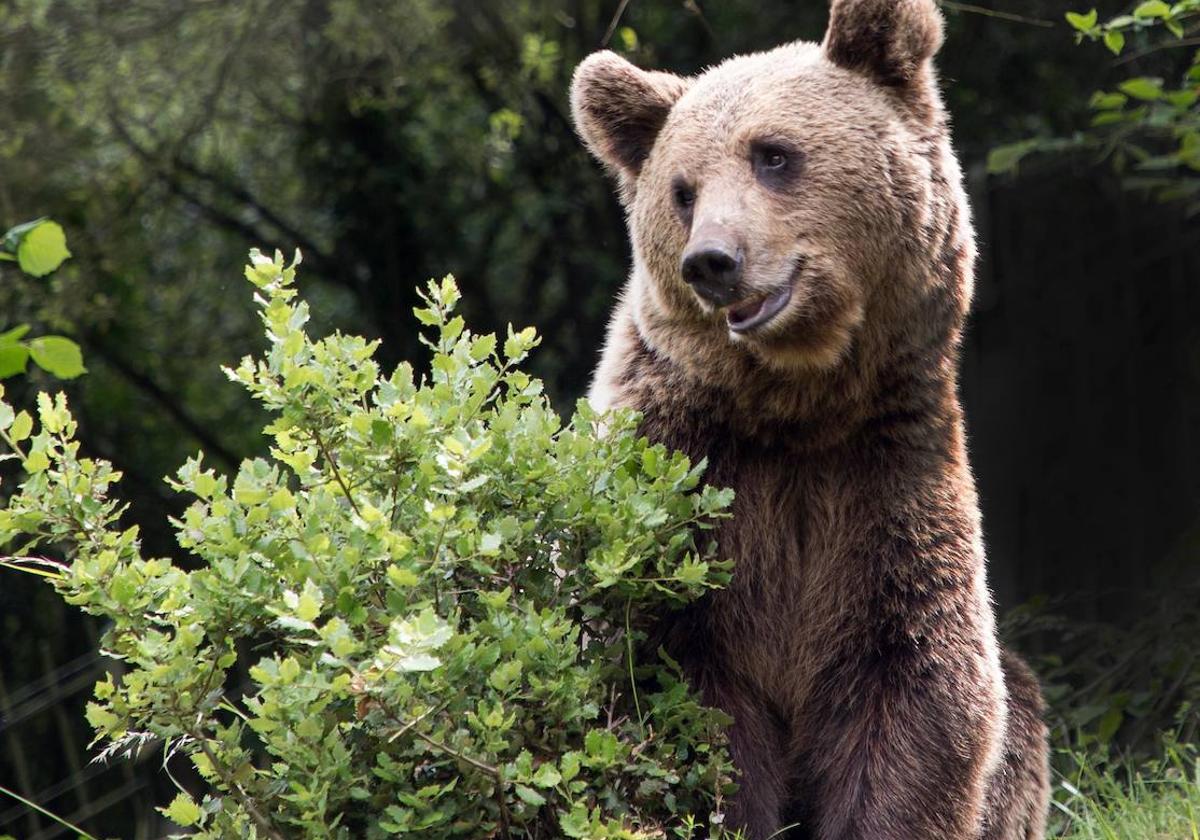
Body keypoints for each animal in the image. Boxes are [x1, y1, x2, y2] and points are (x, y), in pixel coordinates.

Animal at [571, 1, 1051, 840]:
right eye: (683, 190)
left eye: (773, 155)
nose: (713, 260)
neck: (798, 408)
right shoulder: (681, 483)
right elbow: (672, 693)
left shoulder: (884, 480)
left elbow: (920, 691)